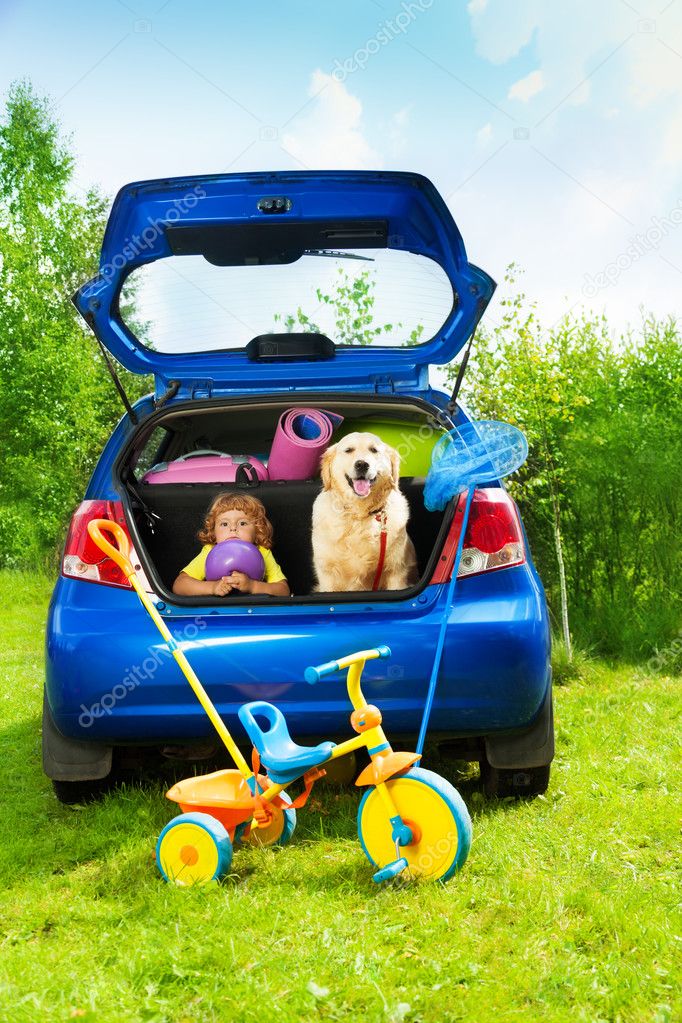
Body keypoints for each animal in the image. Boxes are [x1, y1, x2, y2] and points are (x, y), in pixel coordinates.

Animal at [312, 431, 419, 593]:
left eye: (374, 450)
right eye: (349, 450)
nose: (362, 464)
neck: (359, 514)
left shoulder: (396, 571)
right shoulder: (327, 574)